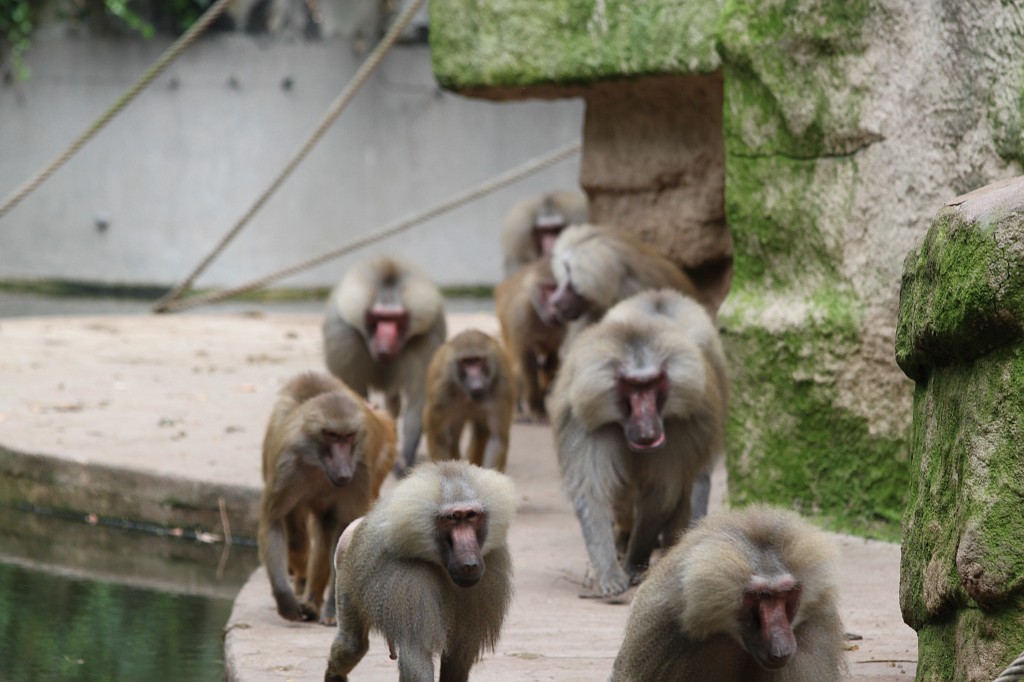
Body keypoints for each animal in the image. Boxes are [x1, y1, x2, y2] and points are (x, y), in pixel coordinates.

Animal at [259, 371, 397, 624]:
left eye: (348, 437)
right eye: (332, 436)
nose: (343, 472)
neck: (318, 466)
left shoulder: (360, 468)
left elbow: (346, 530)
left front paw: (335, 609)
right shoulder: (286, 467)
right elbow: (275, 520)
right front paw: (286, 600)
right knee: (300, 533)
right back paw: (308, 597)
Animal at [323, 256, 447, 475]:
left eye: (397, 320)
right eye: (378, 318)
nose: (385, 346)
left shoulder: (426, 340)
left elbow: (418, 402)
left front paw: (404, 459)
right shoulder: (344, 339)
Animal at [324, 460, 517, 682]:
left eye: (471, 516)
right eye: (451, 518)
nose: (470, 564)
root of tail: (357, 525)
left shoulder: (488, 571)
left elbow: (459, 654)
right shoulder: (408, 579)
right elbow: (417, 653)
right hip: (345, 570)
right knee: (352, 645)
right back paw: (334, 673)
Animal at [423, 329, 516, 472]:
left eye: (478, 361)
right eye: (466, 362)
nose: (475, 380)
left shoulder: (501, 386)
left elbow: (496, 438)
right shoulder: (441, 388)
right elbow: (439, 438)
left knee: (481, 432)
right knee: (453, 439)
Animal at [493, 256, 567, 421]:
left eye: (557, 288)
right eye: (548, 290)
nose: (555, 306)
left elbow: (551, 358)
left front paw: (543, 391)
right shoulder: (521, 313)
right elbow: (526, 363)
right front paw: (537, 408)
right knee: (515, 366)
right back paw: (517, 409)